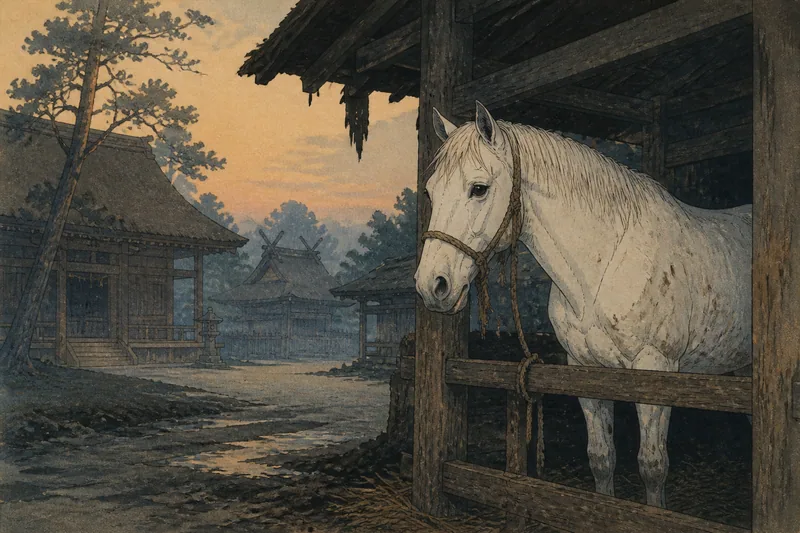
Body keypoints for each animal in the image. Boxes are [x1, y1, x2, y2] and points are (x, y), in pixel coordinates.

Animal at [413, 101, 752, 509]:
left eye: (478, 189)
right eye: (431, 191)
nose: (432, 285)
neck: (605, 265)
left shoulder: (657, 371)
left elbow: (653, 467)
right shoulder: (585, 372)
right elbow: (601, 459)